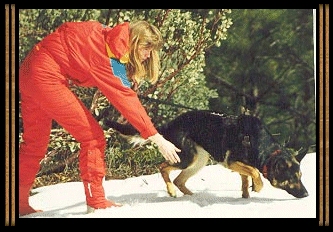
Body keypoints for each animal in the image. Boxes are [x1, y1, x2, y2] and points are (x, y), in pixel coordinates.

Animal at [104, 110, 308, 198]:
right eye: (292, 178)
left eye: (300, 176)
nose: (307, 194)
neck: (259, 142)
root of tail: (170, 125)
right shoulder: (231, 161)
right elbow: (254, 172)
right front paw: (257, 187)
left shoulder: (238, 164)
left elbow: (246, 176)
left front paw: (245, 194)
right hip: (187, 158)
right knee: (162, 167)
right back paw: (171, 191)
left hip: (199, 161)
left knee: (179, 180)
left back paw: (191, 196)